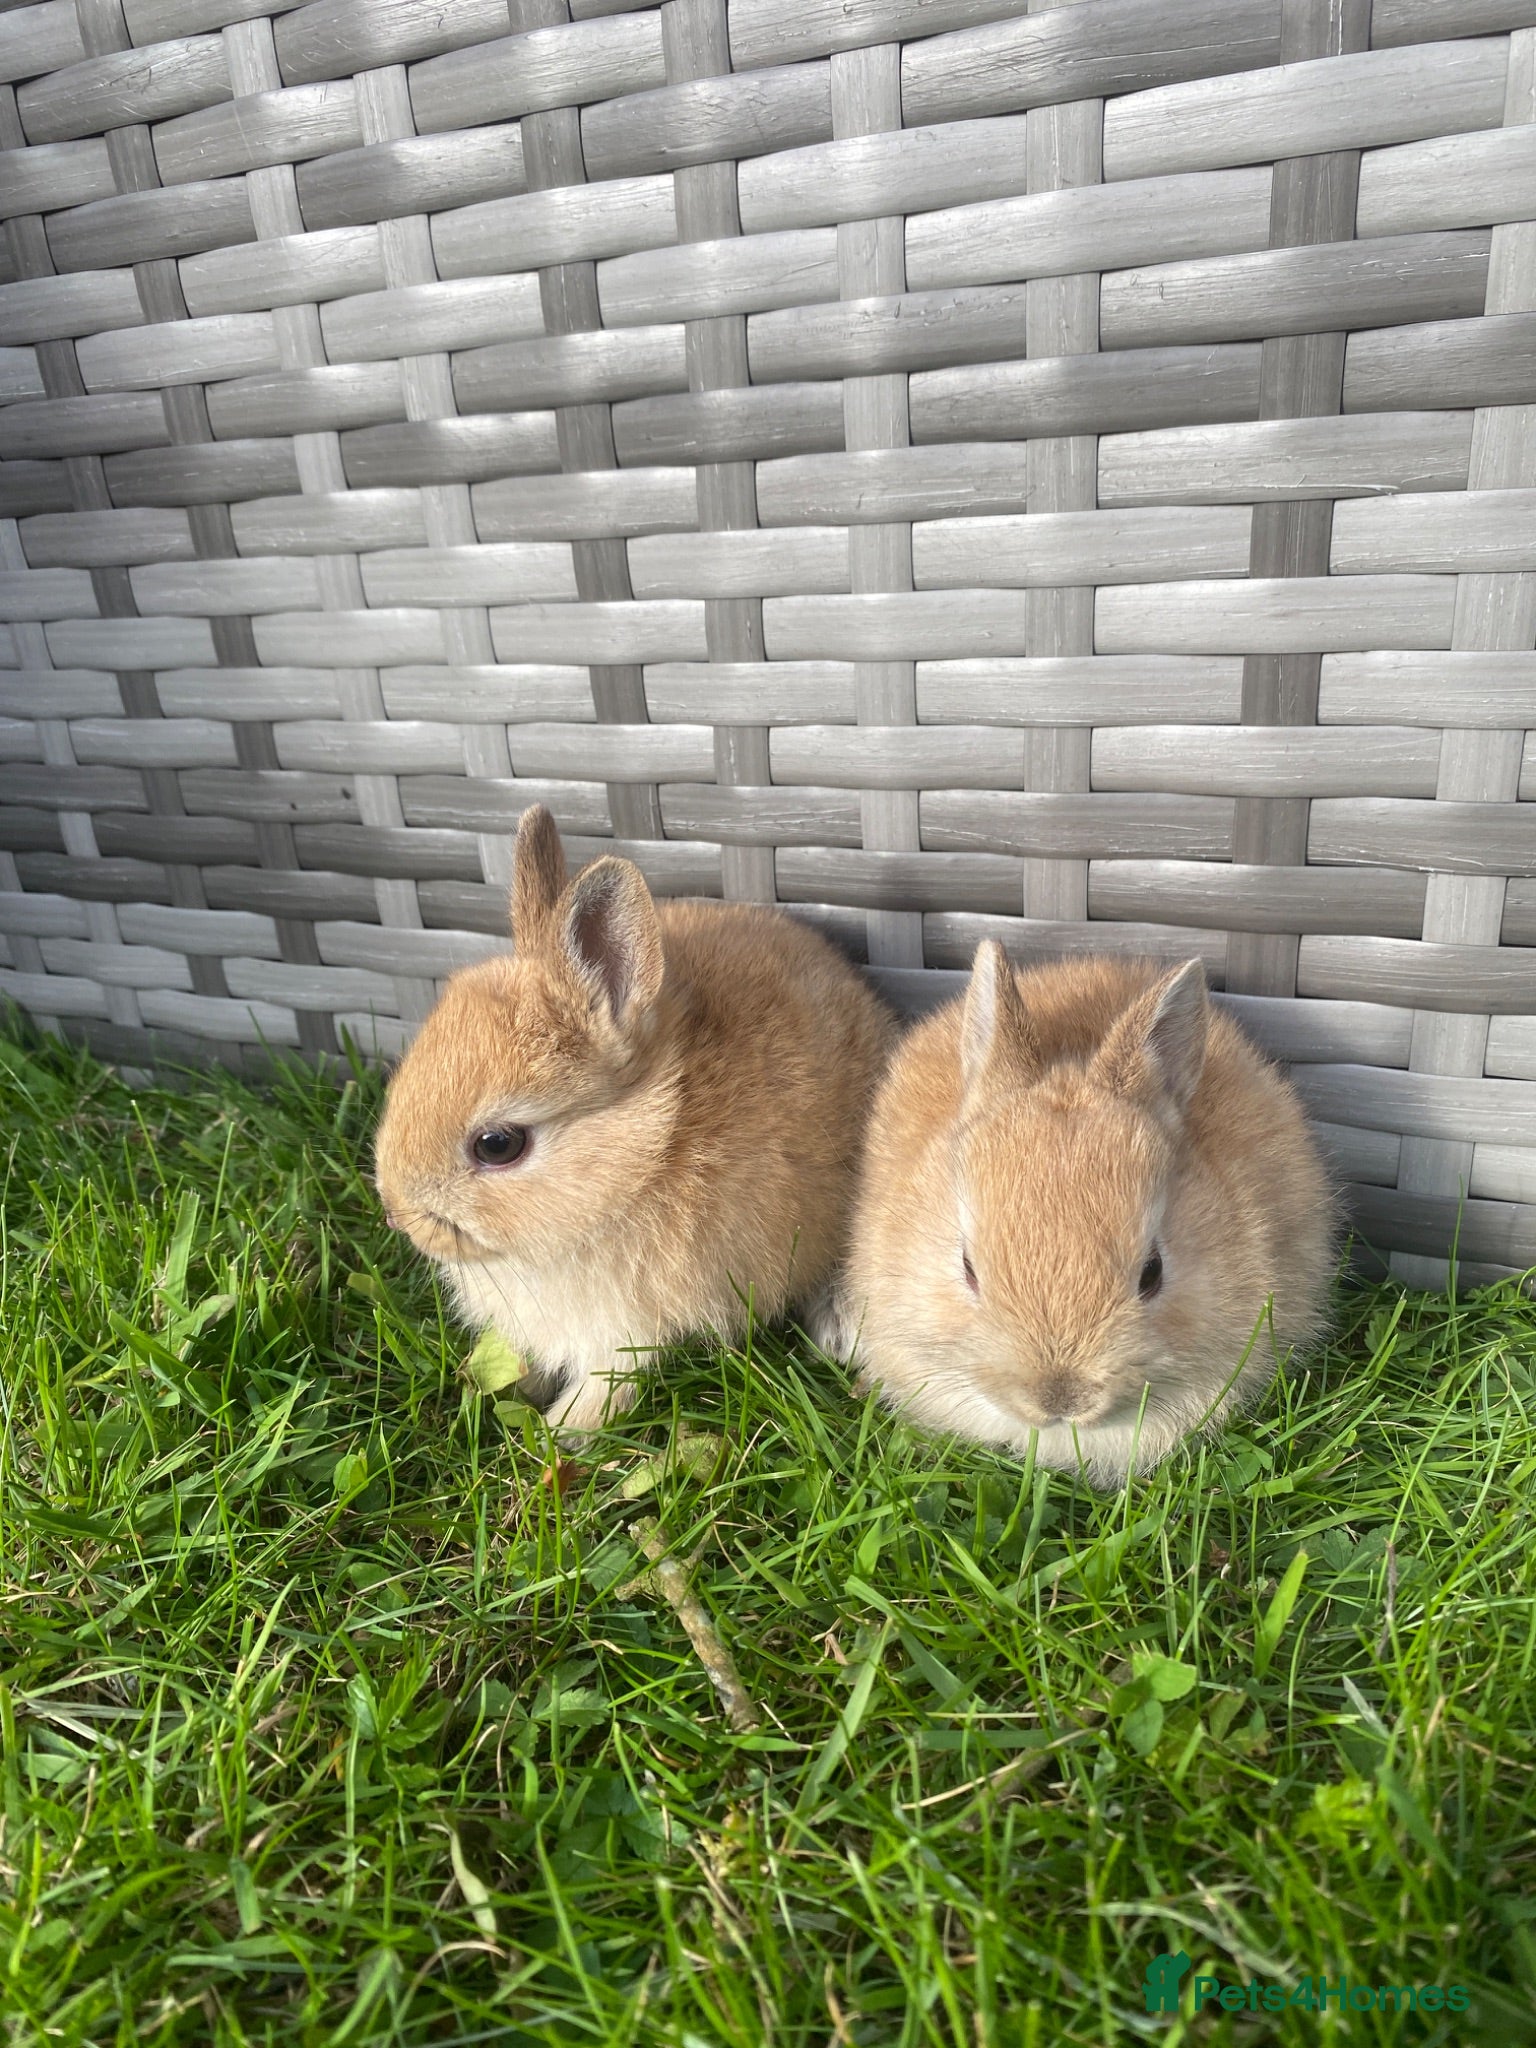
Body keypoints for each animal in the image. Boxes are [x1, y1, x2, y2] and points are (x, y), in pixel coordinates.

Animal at [374, 804, 894, 1430]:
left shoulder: (627, 1325)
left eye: (497, 1144)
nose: (397, 1215)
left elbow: (612, 1375)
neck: (641, 1161)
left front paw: (564, 1431)